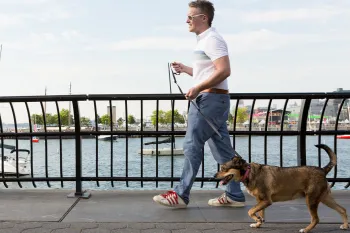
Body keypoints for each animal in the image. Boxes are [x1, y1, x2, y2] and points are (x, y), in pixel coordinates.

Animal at [213, 144, 348, 233]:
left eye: (223, 168)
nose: (214, 176)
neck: (248, 172)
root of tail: (322, 170)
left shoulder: (266, 201)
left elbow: (250, 211)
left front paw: (257, 219)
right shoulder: (260, 201)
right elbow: (259, 212)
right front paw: (258, 223)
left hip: (311, 200)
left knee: (316, 219)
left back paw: (306, 229)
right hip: (324, 198)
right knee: (342, 209)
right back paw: (345, 225)